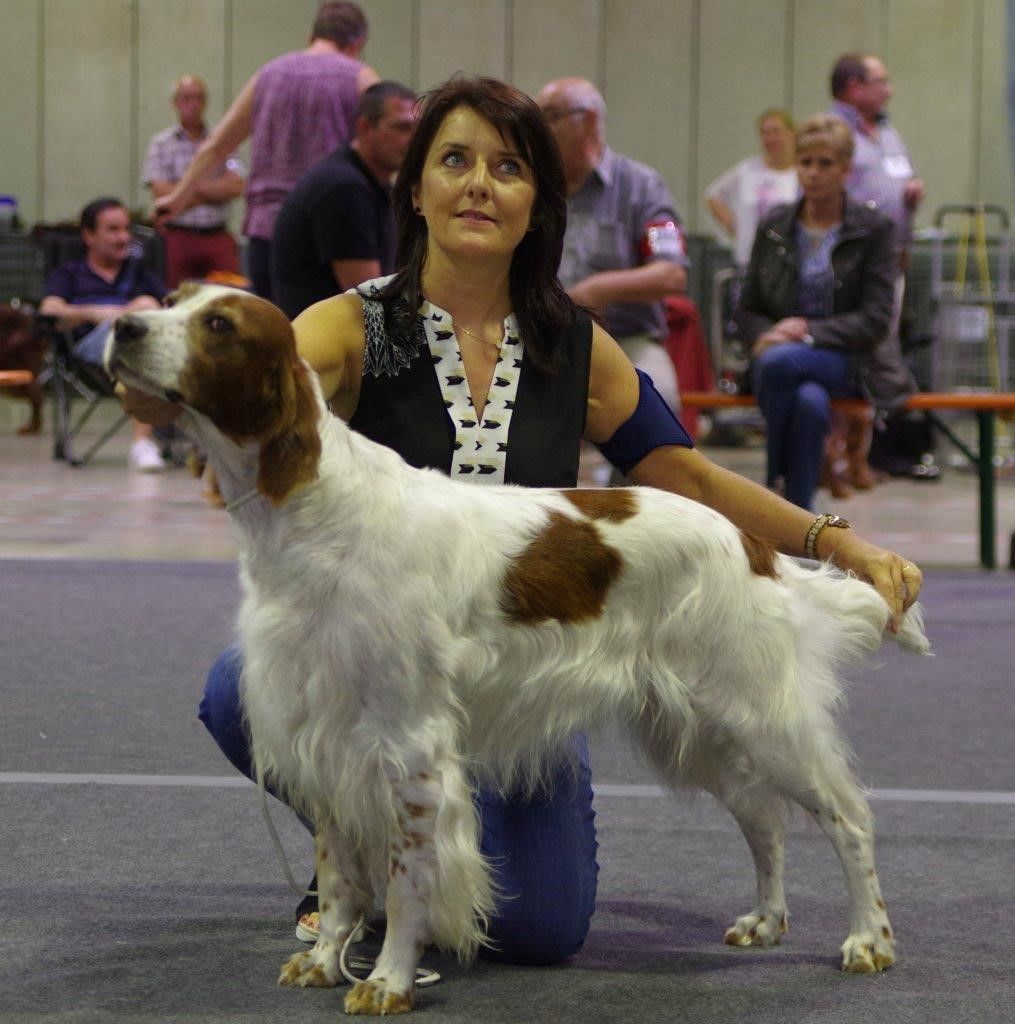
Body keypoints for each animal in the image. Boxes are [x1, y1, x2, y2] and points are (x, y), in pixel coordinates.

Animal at [107, 282, 934, 1015]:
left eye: (218, 324)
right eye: (173, 300)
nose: (122, 326)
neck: (313, 511)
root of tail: (751, 544)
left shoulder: (408, 744)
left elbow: (406, 878)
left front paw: (387, 981)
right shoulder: (322, 729)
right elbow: (340, 872)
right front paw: (323, 959)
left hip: (757, 712)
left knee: (845, 817)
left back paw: (868, 940)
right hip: (696, 726)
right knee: (763, 819)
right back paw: (765, 920)